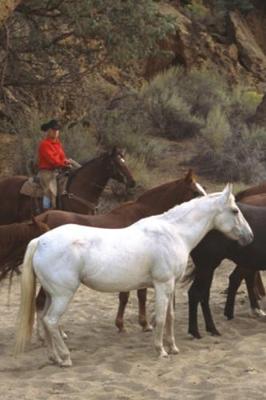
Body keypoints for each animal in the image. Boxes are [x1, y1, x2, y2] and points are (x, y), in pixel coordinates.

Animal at [15, 184, 252, 366]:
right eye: (235, 211)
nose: (249, 237)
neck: (173, 233)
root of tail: (41, 240)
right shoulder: (162, 284)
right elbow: (160, 317)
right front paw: (161, 350)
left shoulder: (171, 286)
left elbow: (170, 316)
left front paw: (173, 347)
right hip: (63, 296)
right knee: (52, 321)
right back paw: (65, 358)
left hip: (51, 294)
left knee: (44, 320)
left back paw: (54, 357)